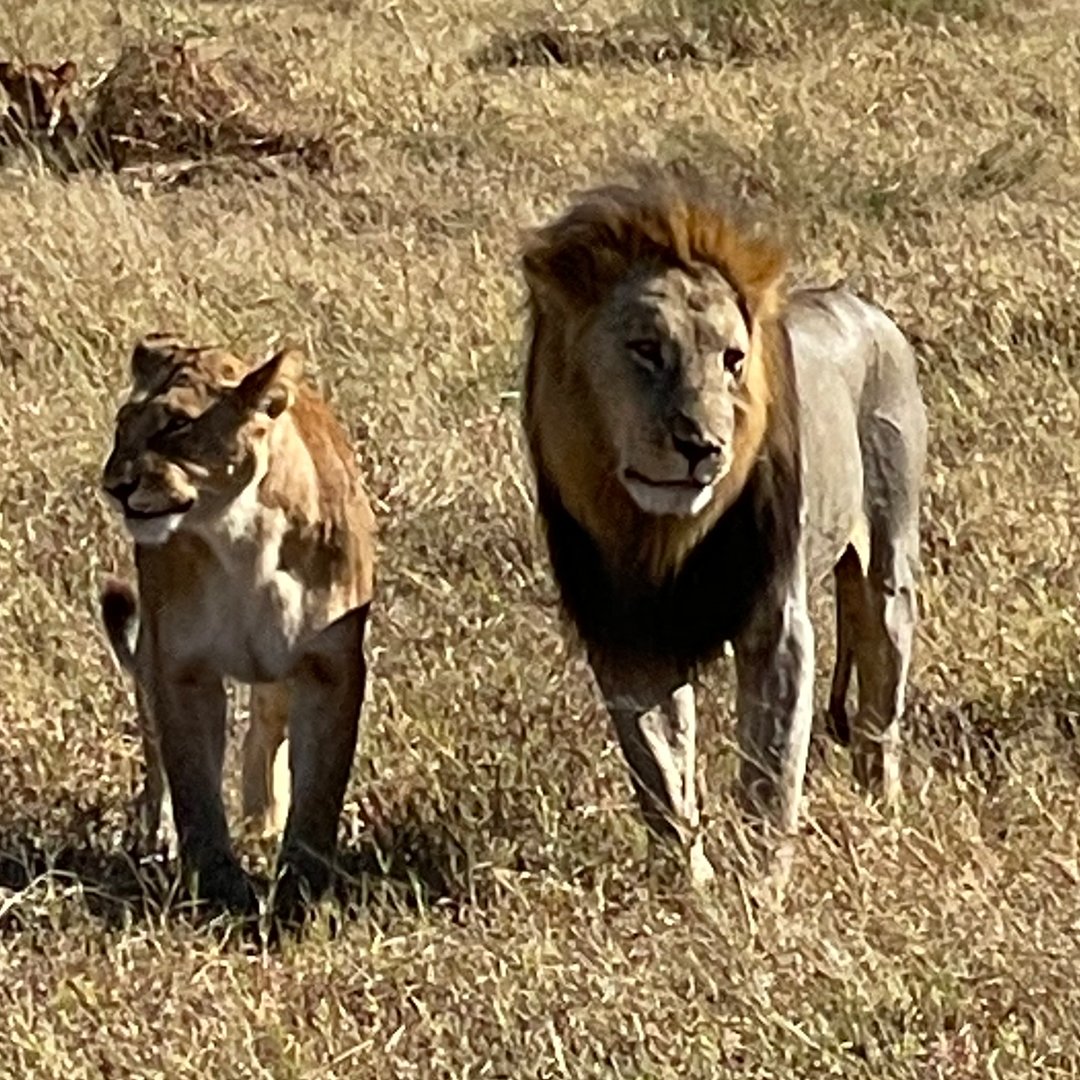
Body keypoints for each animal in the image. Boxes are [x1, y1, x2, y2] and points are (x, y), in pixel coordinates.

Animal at [101, 334, 378, 911]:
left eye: (175, 425)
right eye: (123, 424)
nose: (115, 485)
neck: (240, 535)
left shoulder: (331, 666)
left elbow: (320, 789)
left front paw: (300, 892)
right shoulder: (180, 665)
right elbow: (193, 784)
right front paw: (218, 888)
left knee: (267, 726)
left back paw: (262, 820)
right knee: (155, 741)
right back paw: (157, 837)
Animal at [518, 166, 924, 876]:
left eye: (733, 360)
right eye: (646, 350)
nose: (702, 447)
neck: (657, 536)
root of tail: (868, 309)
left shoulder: (775, 625)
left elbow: (770, 776)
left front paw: (760, 889)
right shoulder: (626, 638)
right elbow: (661, 773)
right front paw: (689, 884)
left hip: (890, 568)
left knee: (881, 714)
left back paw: (884, 821)